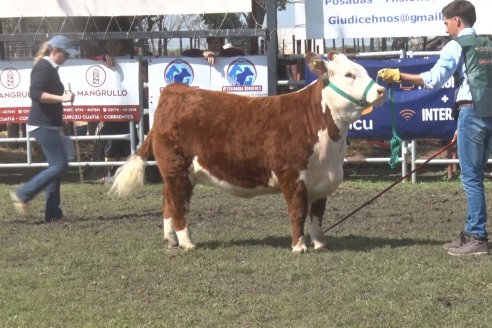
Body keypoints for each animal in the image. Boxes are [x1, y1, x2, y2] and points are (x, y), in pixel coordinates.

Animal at [110, 51, 384, 252]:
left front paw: (319, 244)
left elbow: (317, 215)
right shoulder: (292, 176)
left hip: (174, 172)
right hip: (177, 168)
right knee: (178, 205)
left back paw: (170, 240)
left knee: (168, 202)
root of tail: (174, 91)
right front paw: (299, 247)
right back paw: (187, 242)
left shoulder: (321, 180)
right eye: (349, 74)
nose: (380, 90)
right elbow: (297, 212)